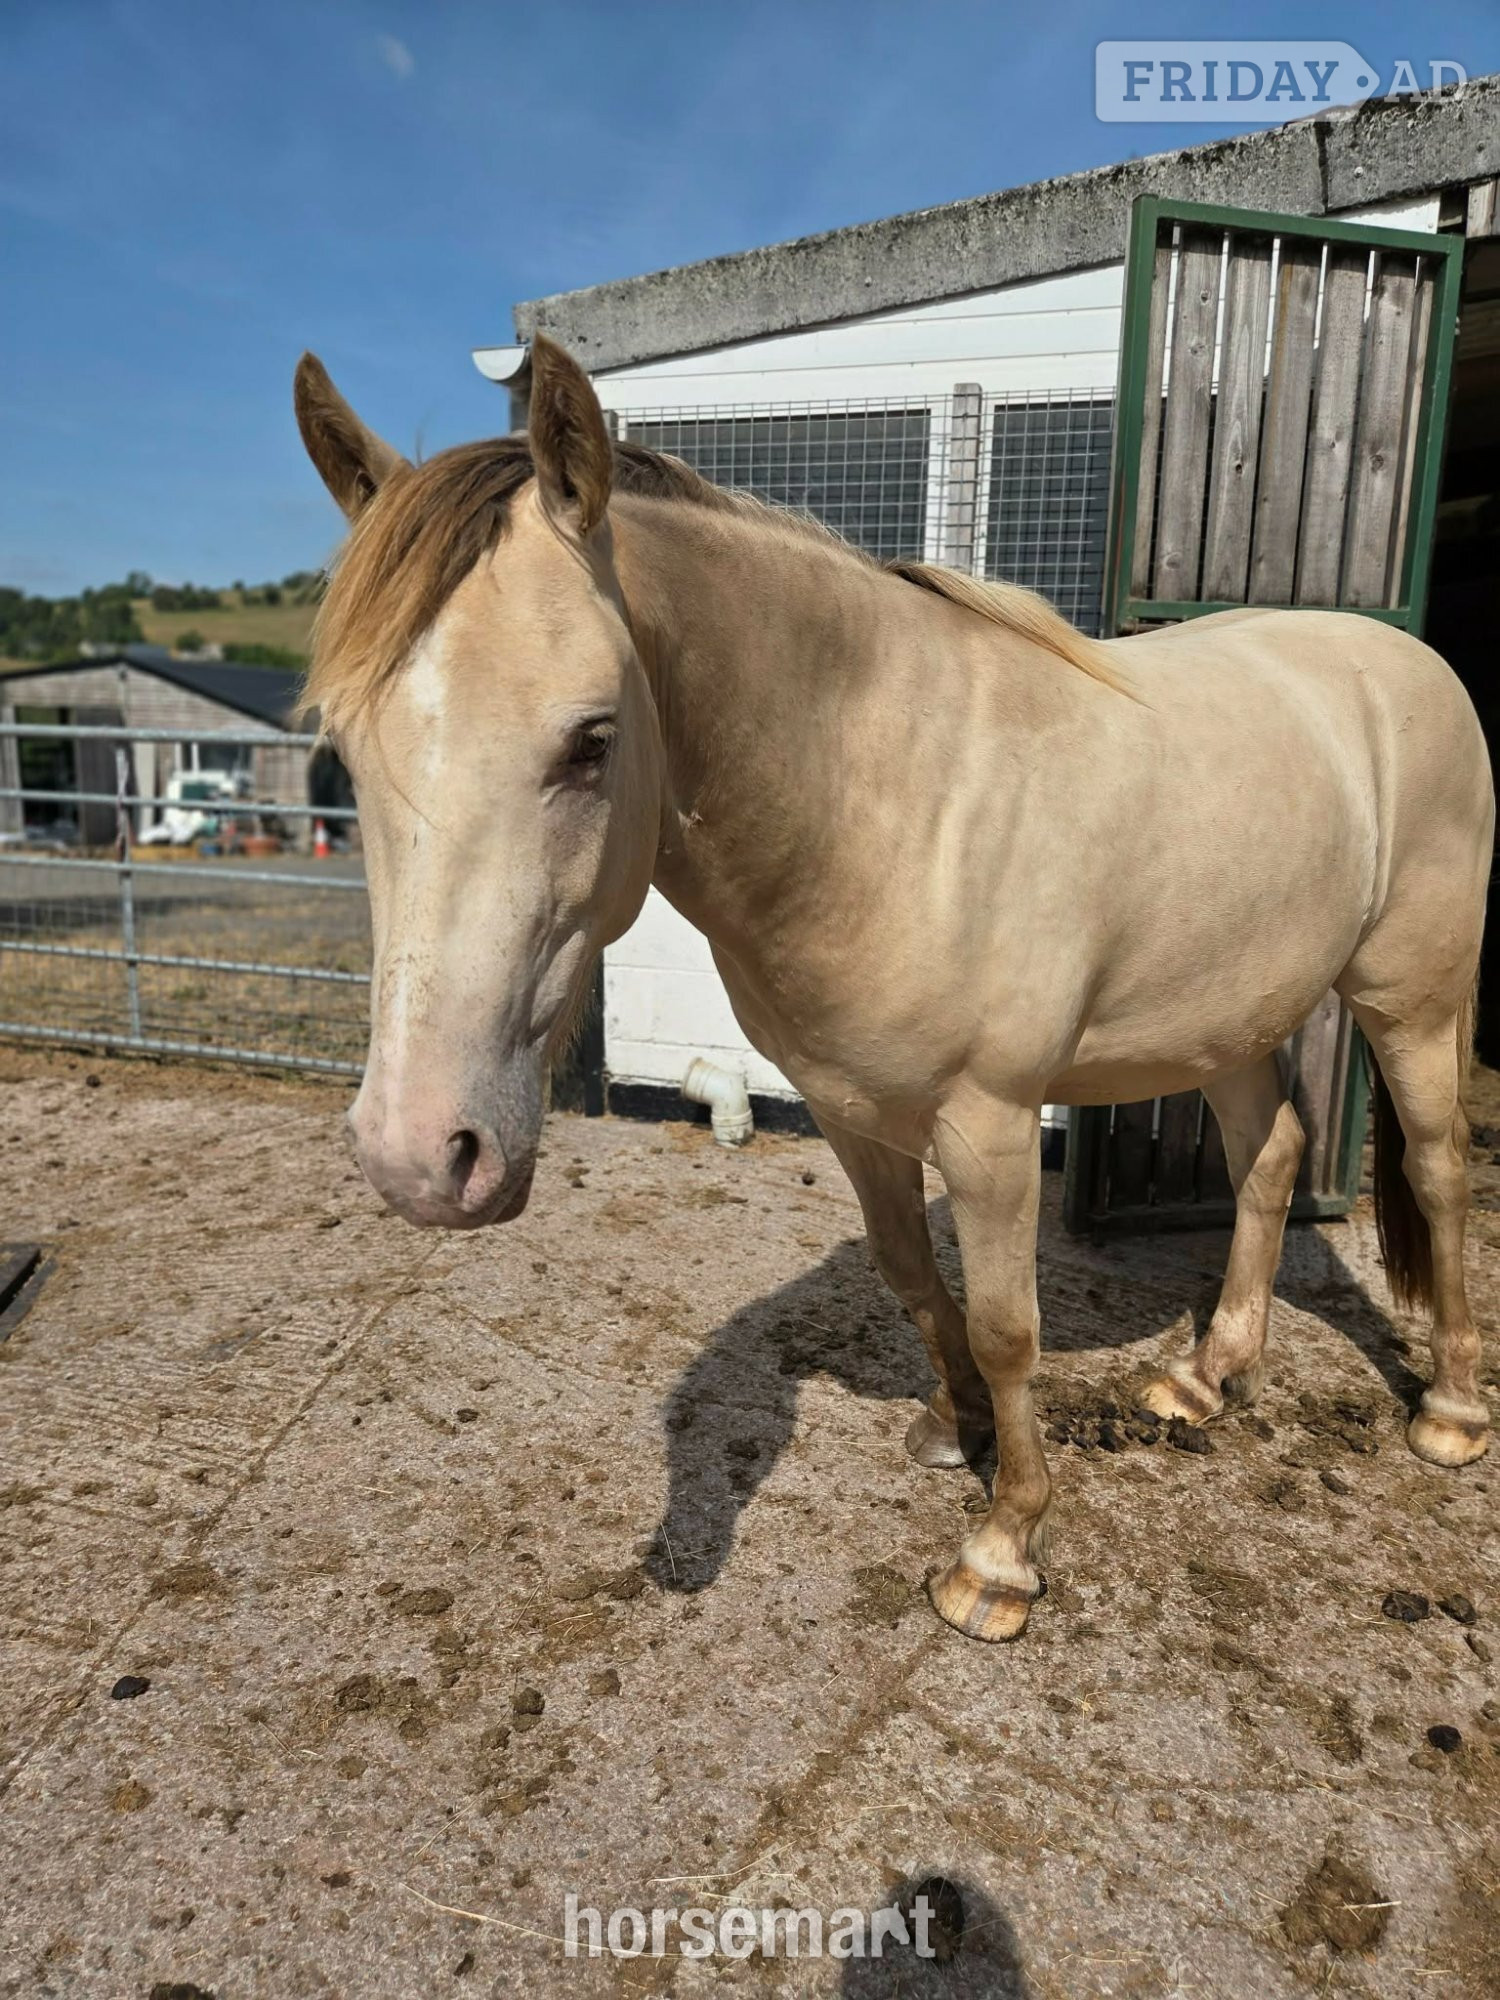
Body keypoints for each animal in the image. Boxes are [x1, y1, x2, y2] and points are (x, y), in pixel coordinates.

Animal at [294, 332, 1493, 1643]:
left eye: (592, 739)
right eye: (342, 749)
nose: (420, 1155)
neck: (892, 798)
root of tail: (1404, 662)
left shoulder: (992, 1125)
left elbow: (1011, 1327)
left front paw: (1002, 1549)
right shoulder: (850, 1110)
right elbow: (916, 1277)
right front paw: (955, 1427)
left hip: (1414, 1001)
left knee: (1439, 1170)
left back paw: (1449, 1408)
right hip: (1225, 1016)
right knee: (1267, 1155)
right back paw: (1205, 1375)